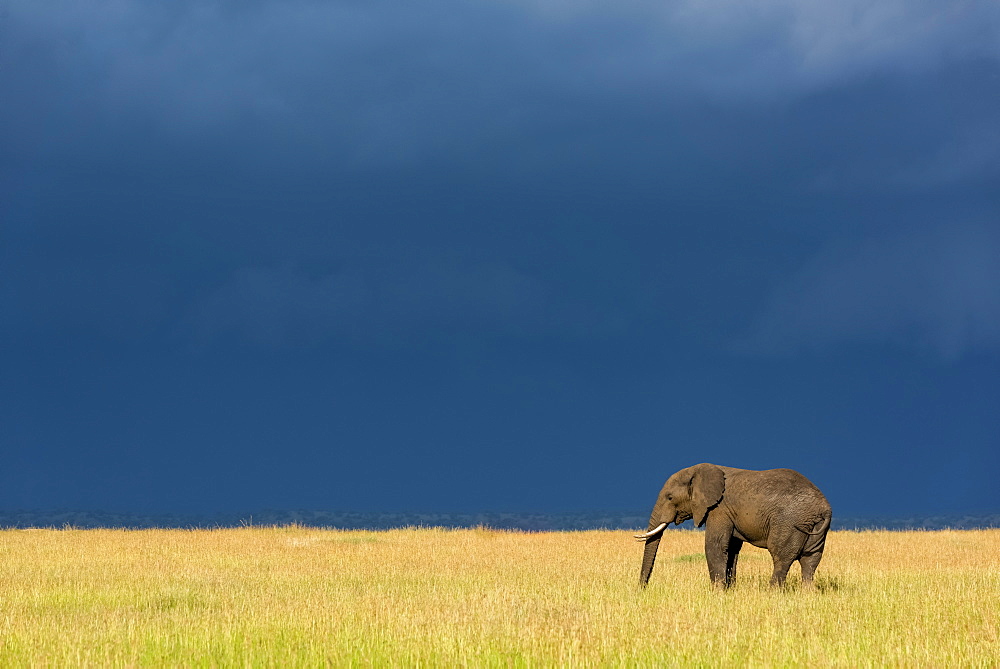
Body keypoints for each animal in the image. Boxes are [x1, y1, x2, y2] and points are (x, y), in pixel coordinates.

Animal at [636, 462, 832, 588]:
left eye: (670, 498)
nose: (643, 589)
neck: (698, 471)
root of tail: (823, 509)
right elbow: (731, 549)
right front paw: (729, 590)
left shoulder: (719, 509)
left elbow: (714, 545)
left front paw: (717, 593)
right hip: (815, 528)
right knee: (810, 561)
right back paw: (807, 594)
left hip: (789, 523)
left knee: (781, 558)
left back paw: (773, 592)